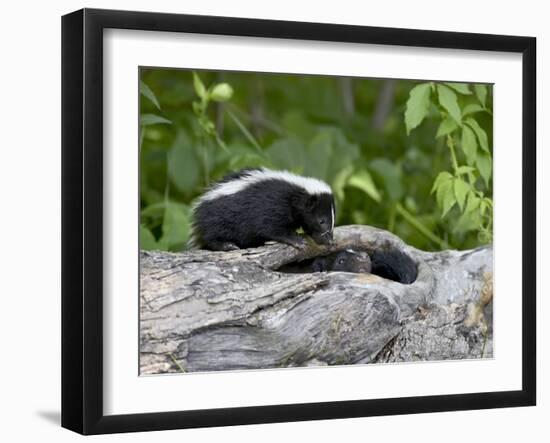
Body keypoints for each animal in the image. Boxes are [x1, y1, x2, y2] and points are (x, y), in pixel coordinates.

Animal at [190, 168, 336, 251]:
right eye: (322, 221)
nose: (330, 240)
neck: (296, 194)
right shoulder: (271, 205)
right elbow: (271, 227)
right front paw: (296, 240)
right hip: (219, 218)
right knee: (213, 236)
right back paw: (227, 245)